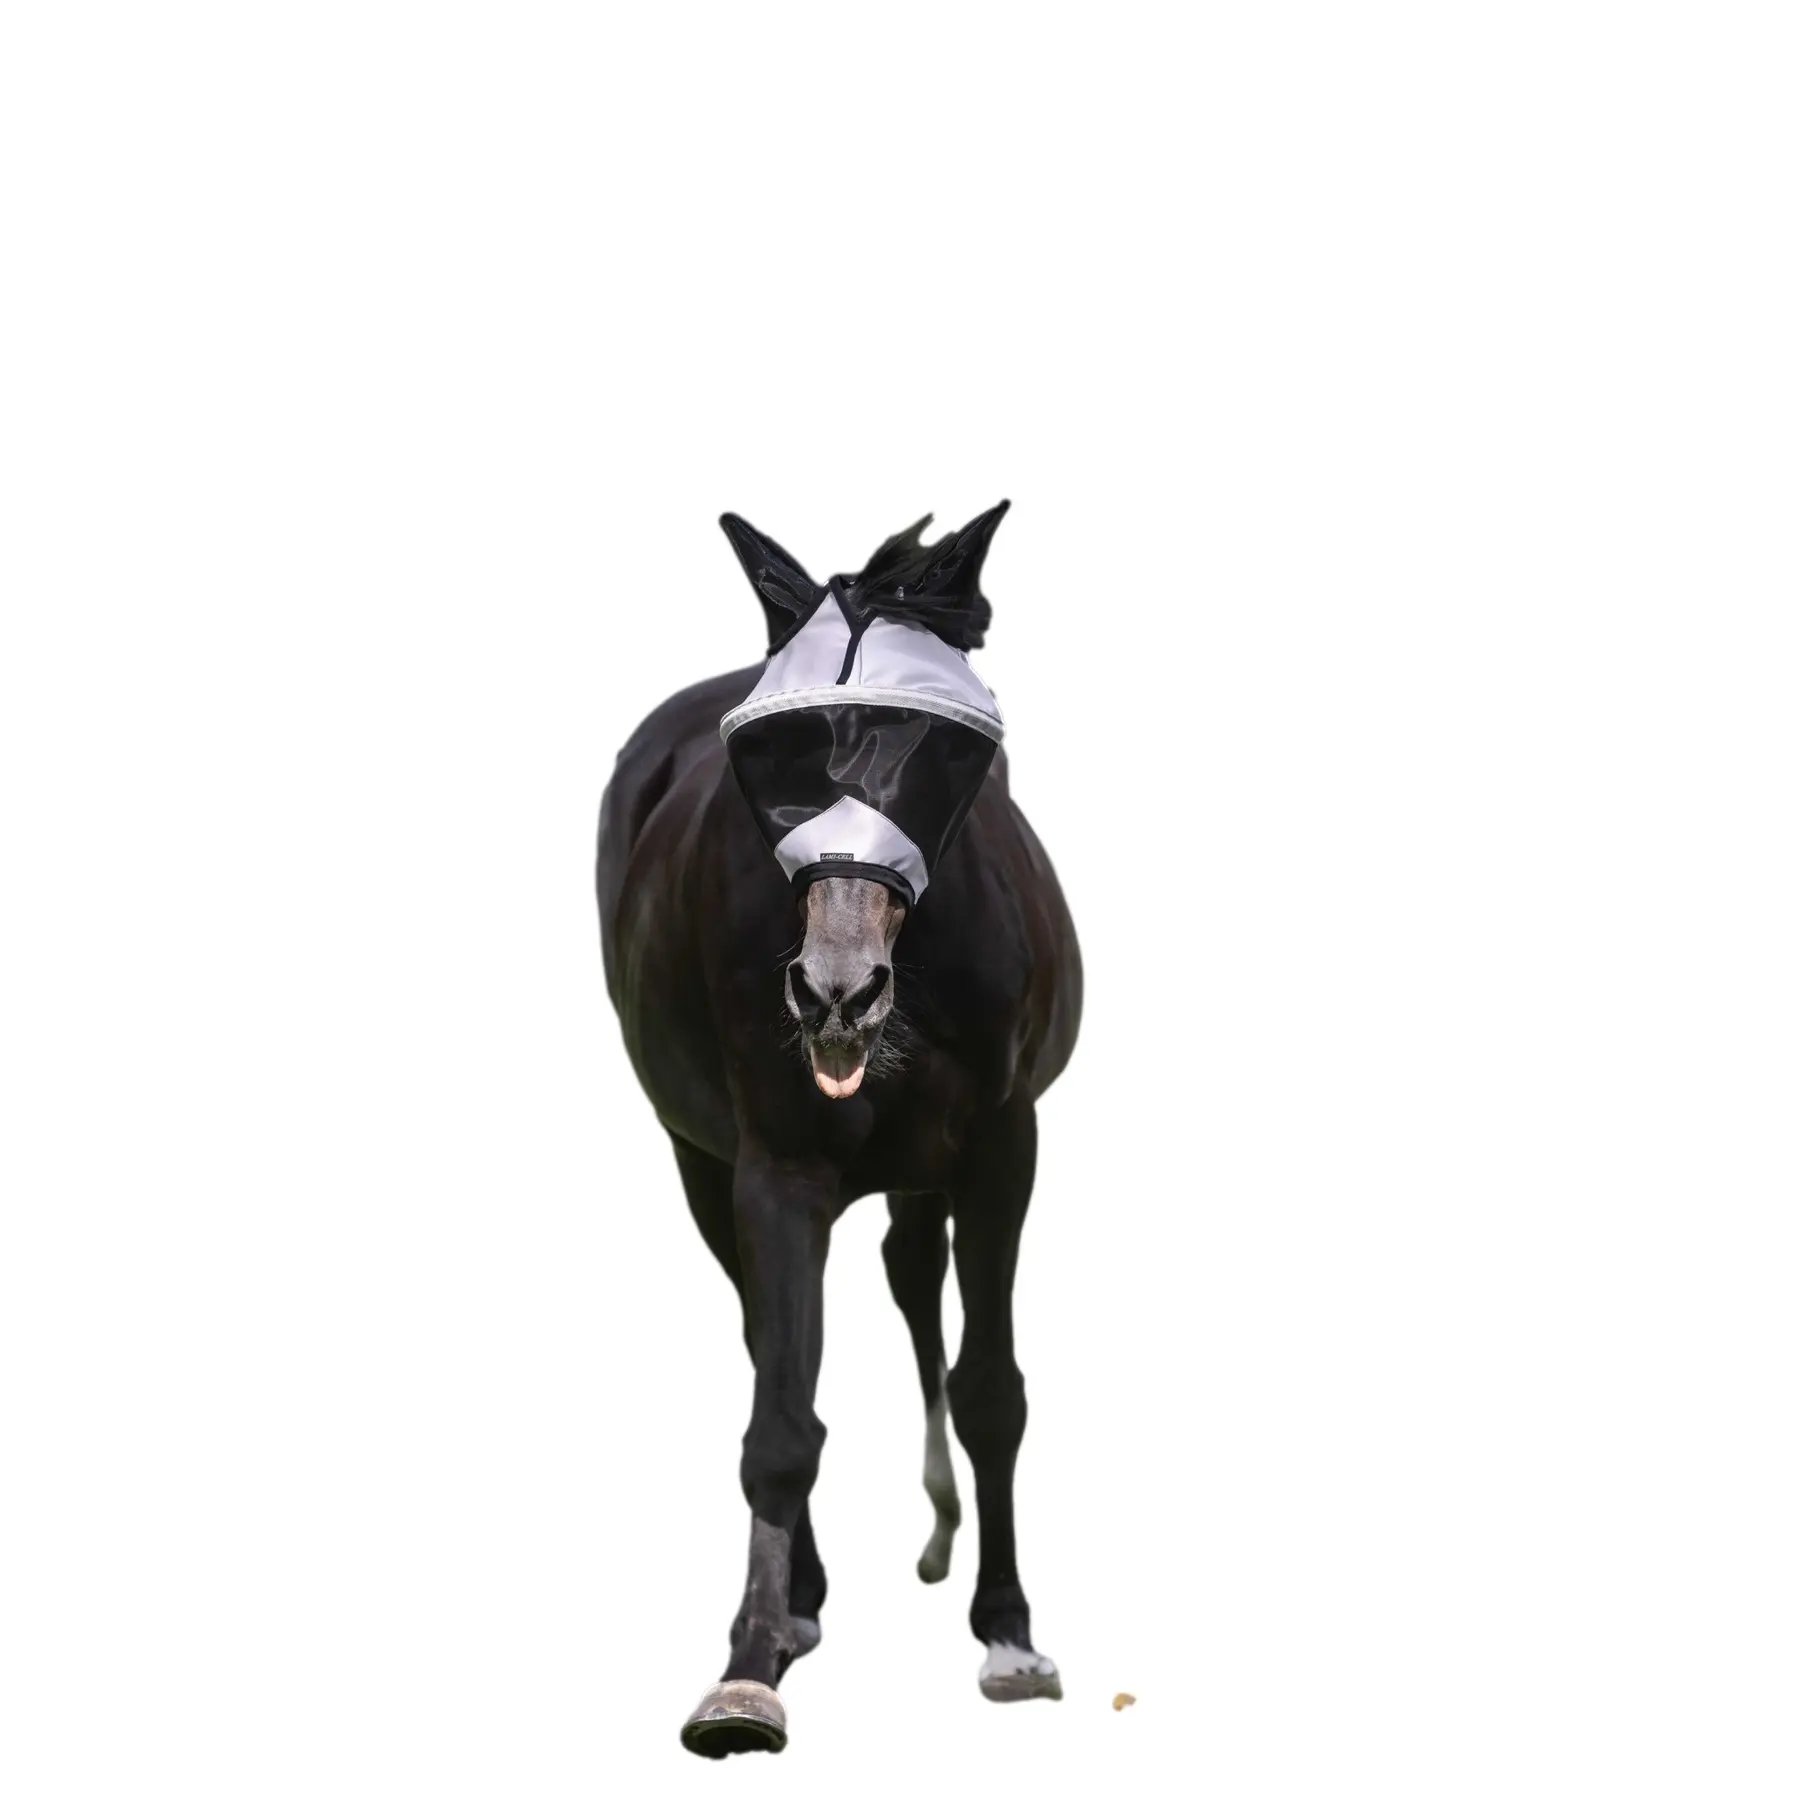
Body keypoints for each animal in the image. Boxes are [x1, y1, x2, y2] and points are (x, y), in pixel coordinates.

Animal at [594, 504, 1082, 1756]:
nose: (835, 991)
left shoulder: (1003, 1145)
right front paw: (747, 1667)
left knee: (915, 1274)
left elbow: (990, 1387)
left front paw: (1009, 1634)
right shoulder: (771, 1169)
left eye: (940, 743)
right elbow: (779, 1416)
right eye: (771, 749)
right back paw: (808, 1597)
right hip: (701, 1161)